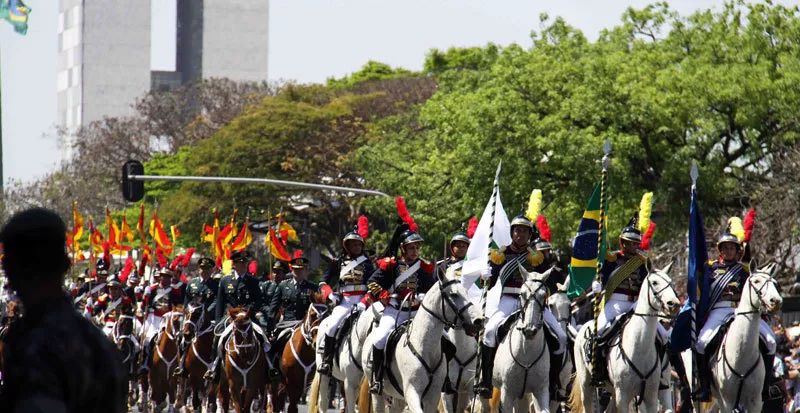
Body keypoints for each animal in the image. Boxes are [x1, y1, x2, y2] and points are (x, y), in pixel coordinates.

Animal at [360, 274, 482, 412]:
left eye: (466, 292)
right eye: (454, 294)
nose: (479, 321)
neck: (424, 346)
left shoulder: (433, 396)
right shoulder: (412, 391)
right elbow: (374, 281)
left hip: (398, 396)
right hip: (377, 394)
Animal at [568, 266, 680, 410]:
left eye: (670, 282)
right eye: (654, 282)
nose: (674, 304)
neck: (640, 348)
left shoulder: (651, 396)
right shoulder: (623, 396)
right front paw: (597, 286)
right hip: (587, 385)